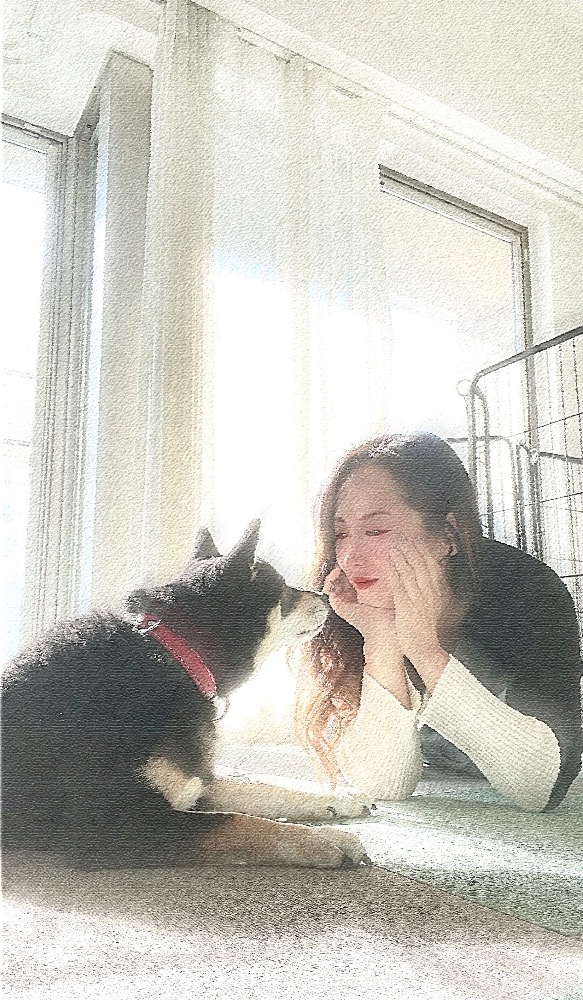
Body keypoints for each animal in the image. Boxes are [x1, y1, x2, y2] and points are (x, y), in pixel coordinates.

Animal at [2, 520, 371, 870]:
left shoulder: (193, 784)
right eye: (284, 591)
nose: (325, 596)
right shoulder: (112, 823)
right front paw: (325, 841)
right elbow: (241, 822)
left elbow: (267, 791)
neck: (177, 656)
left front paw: (341, 800)